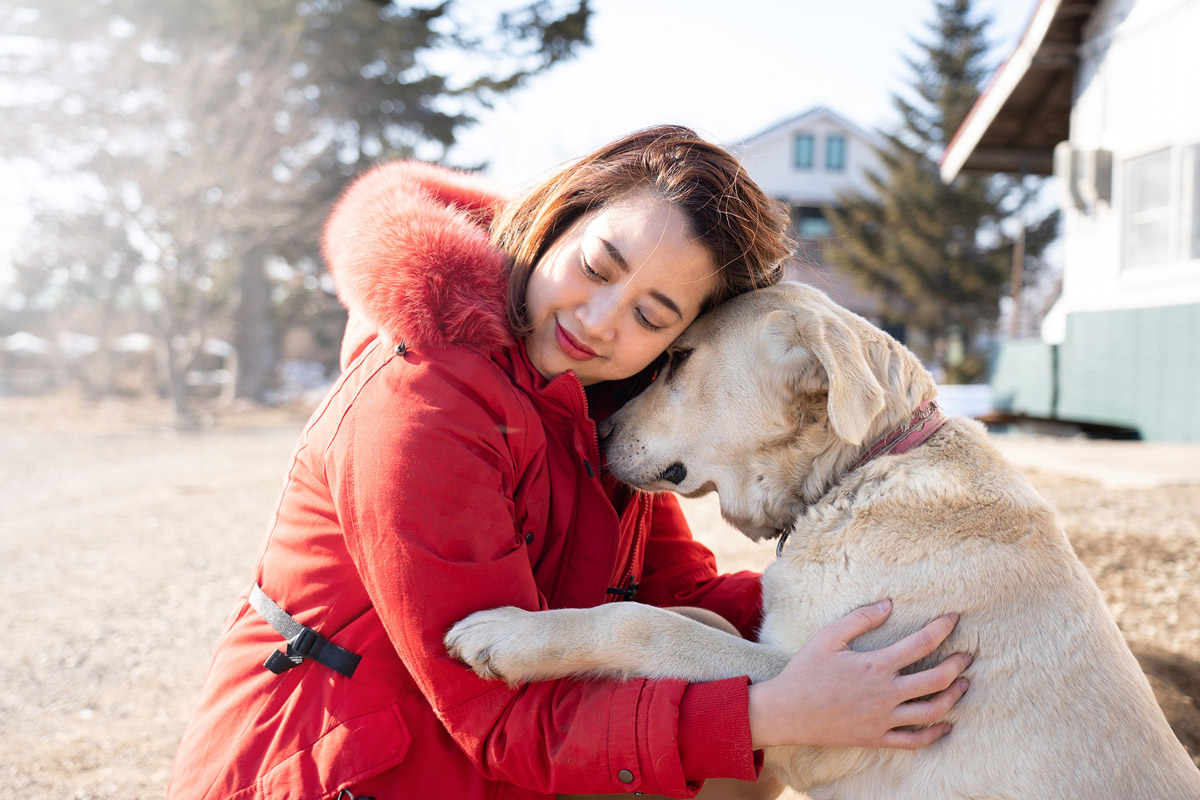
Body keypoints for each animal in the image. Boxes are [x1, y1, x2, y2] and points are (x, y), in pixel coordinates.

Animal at [448, 283, 1200, 800]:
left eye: (679, 359)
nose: (598, 429)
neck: (861, 467)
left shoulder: (819, 705)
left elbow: (645, 625)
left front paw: (510, 635)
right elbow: (690, 614)